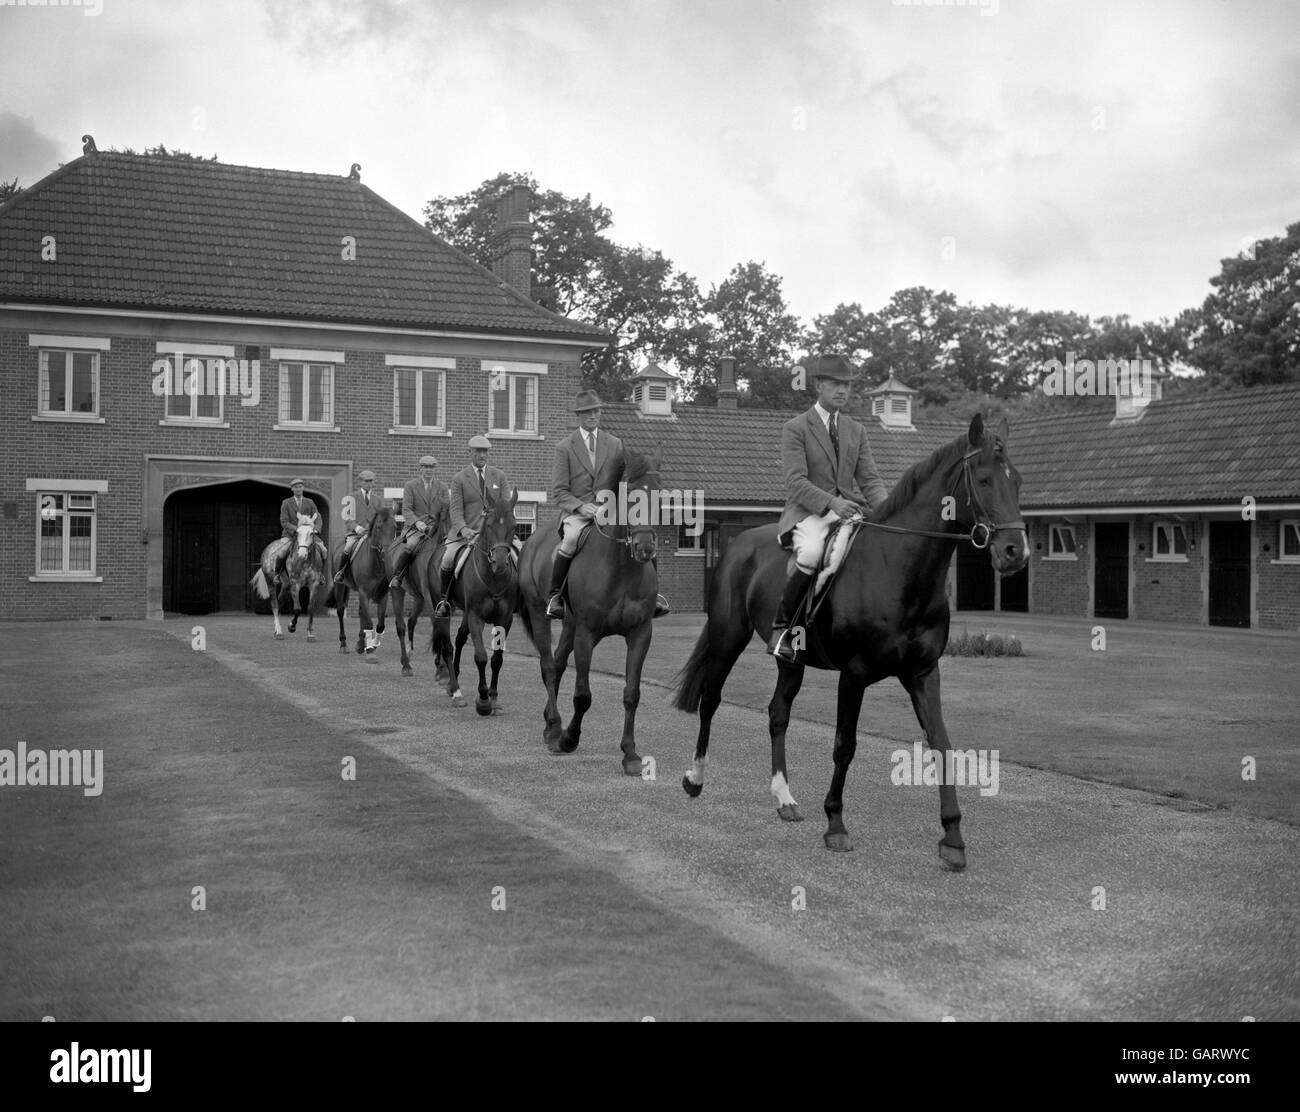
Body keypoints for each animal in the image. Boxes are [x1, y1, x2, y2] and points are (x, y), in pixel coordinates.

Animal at [330, 509, 395, 660]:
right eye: (379, 527)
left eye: (395, 527)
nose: (388, 554)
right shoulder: (364, 593)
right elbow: (369, 622)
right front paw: (370, 649)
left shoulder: (382, 595)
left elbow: (380, 625)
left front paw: (373, 644)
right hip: (339, 586)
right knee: (340, 611)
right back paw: (344, 645)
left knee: (361, 613)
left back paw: (360, 644)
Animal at [434, 491, 520, 717]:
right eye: (488, 525)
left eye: (514, 526)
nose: (500, 563)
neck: (493, 578)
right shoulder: (475, 616)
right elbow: (481, 656)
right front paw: (483, 700)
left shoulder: (504, 619)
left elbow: (497, 659)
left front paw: (494, 698)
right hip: (443, 610)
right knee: (448, 647)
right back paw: (456, 692)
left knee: (460, 638)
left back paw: (453, 684)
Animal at [517, 444, 660, 775]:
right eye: (630, 495)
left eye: (660, 493)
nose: (646, 549)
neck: (621, 569)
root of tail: (532, 540)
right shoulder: (586, 634)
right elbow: (583, 695)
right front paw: (570, 738)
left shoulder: (640, 634)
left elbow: (632, 694)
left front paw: (630, 754)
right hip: (541, 615)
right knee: (548, 665)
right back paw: (556, 729)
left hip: (569, 626)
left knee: (557, 665)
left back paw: (549, 725)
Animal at [670, 413, 1024, 873]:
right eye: (983, 479)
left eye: (1017, 481)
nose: (1016, 552)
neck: (899, 570)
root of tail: (739, 542)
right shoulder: (853, 675)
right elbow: (844, 746)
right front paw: (835, 824)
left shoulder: (923, 673)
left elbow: (941, 744)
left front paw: (953, 838)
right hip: (728, 636)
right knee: (711, 699)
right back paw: (695, 779)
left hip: (791, 660)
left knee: (777, 714)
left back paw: (784, 798)